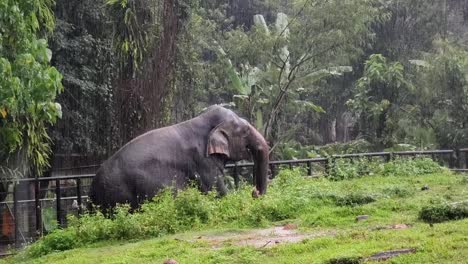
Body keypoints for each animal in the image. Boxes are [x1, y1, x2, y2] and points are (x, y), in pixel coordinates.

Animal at [89, 104, 268, 209]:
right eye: (245, 131)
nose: (254, 192)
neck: (202, 120)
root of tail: (92, 191)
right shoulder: (202, 160)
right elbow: (218, 192)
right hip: (119, 193)